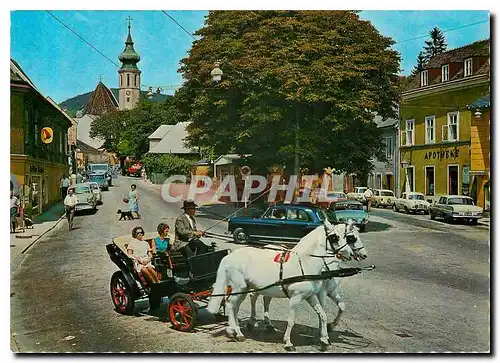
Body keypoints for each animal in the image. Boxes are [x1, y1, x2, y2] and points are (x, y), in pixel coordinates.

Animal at [207, 219, 356, 352]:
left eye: (346, 237)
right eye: (334, 237)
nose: (350, 253)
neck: (304, 263)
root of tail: (228, 257)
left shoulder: (311, 296)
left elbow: (323, 315)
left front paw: (324, 340)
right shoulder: (295, 298)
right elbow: (291, 320)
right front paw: (288, 343)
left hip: (245, 288)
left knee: (235, 306)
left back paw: (235, 330)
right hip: (239, 287)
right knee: (231, 304)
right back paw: (236, 332)